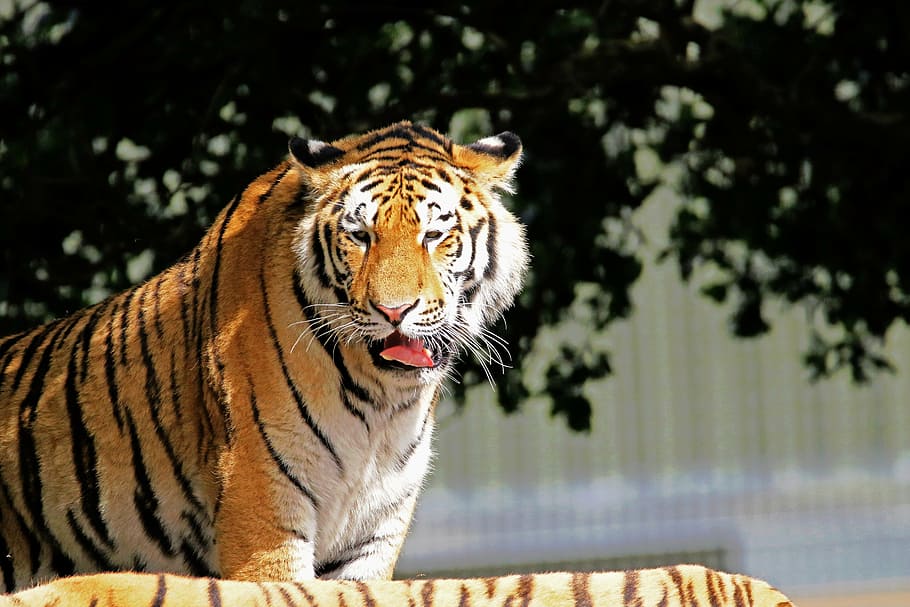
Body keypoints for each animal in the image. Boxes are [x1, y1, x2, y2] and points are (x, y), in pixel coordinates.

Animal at [0, 121, 529, 591]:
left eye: (434, 235)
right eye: (360, 236)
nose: (393, 311)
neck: (380, 403)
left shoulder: (372, 535)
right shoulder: (262, 509)